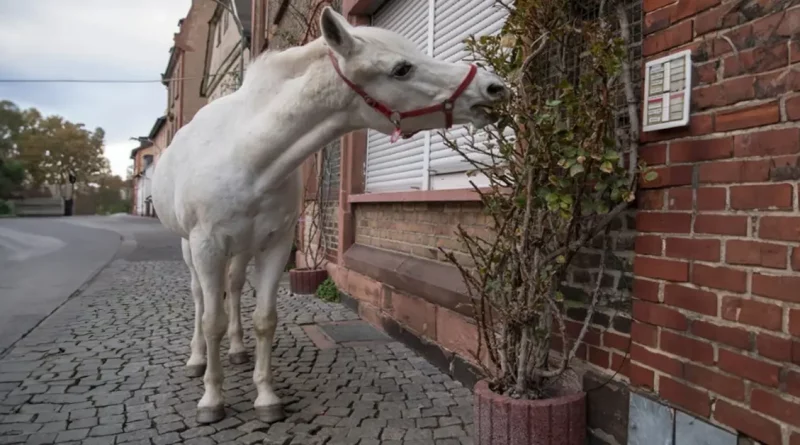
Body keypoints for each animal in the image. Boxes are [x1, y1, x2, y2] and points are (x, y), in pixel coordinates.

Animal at [152, 6, 506, 424]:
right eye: (401, 68)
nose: (493, 88)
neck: (248, 156)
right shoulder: (207, 245)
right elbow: (211, 320)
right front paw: (211, 398)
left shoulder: (275, 244)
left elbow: (264, 320)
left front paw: (266, 395)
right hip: (190, 247)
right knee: (199, 298)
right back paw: (197, 359)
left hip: (241, 248)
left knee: (235, 288)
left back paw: (237, 350)